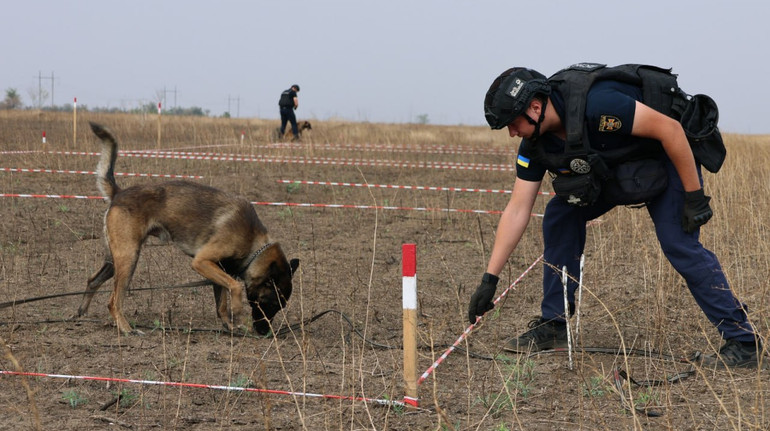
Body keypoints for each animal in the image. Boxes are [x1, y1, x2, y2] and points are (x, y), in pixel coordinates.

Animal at [75, 123, 296, 336]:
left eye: (280, 307)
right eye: (270, 304)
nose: (265, 332)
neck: (253, 242)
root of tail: (119, 193)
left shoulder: (217, 269)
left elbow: (222, 303)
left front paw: (230, 326)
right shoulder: (202, 262)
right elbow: (234, 287)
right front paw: (238, 313)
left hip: (115, 260)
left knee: (92, 281)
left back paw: (81, 314)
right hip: (128, 258)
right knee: (113, 301)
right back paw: (126, 328)